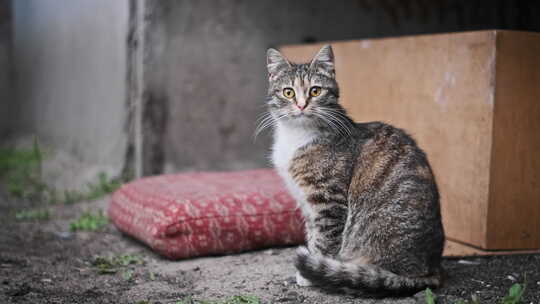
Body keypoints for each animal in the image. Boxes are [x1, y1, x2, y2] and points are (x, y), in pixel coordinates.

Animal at [264, 44, 446, 296]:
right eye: (288, 92)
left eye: (315, 91)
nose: (301, 105)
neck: (296, 136)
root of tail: (432, 269)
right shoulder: (306, 203)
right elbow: (312, 234)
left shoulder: (328, 200)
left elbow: (324, 240)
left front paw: (311, 272)